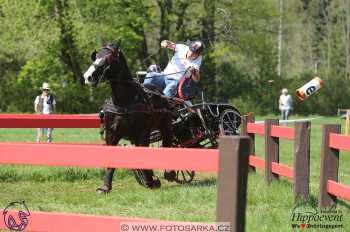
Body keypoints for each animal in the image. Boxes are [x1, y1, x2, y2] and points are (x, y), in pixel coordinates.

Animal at [83, 44, 174, 194]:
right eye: (95, 57)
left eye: (109, 57)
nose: (88, 76)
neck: (123, 102)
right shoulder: (111, 134)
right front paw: (105, 187)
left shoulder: (143, 132)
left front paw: (151, 181)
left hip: (165, 126)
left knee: (167, 143)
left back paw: (168, 173)